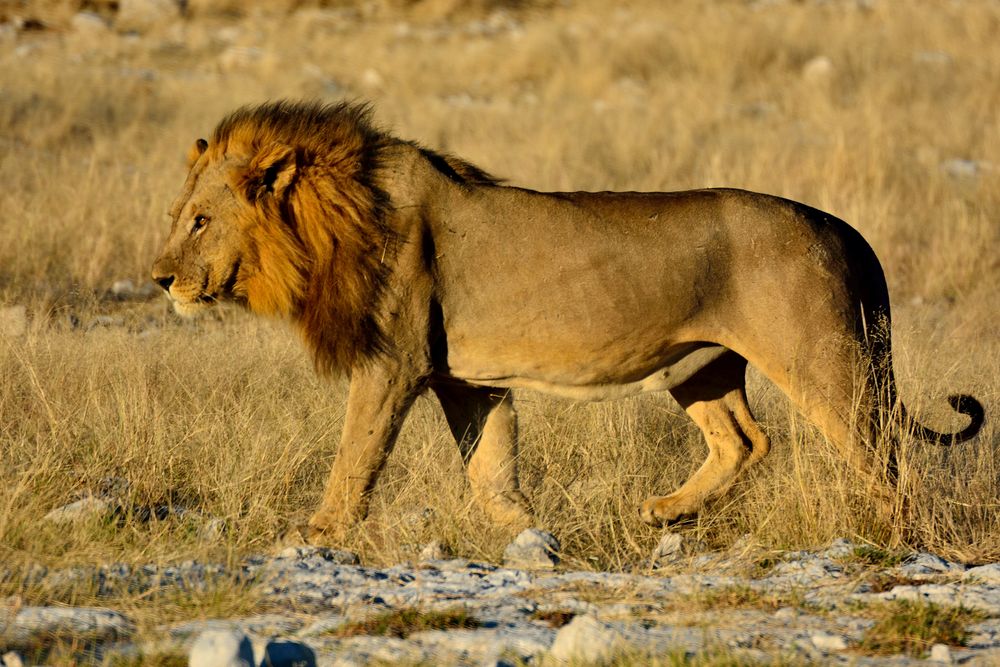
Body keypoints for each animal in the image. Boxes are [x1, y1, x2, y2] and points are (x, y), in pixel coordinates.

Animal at [150, 100, 984, 544]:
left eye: (200, 220)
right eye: (177, 215)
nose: (159, 278)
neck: (334, 218)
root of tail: (840, 225)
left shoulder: (395, 362)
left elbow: (357, 453)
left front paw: (318, 533)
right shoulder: (467, 377)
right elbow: (490, 464)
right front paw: (523, 534)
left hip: (824, 359)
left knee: (884, 458)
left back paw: (902, 539)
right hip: (698, 363)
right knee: (747, 440)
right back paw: (665, 510)